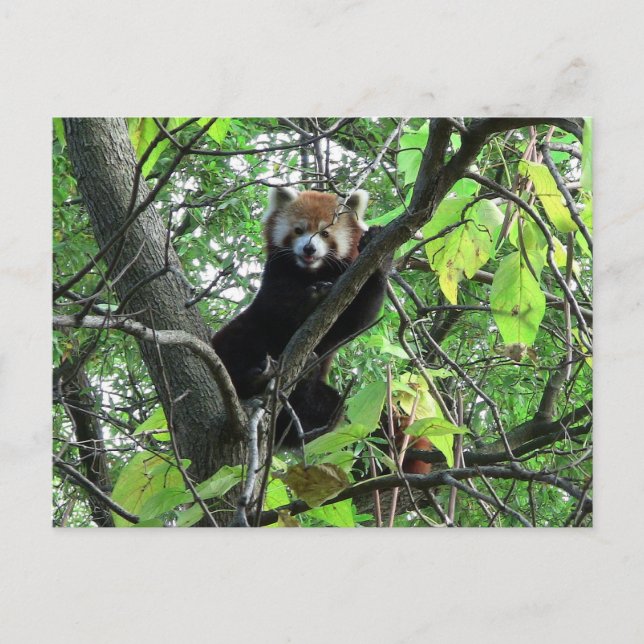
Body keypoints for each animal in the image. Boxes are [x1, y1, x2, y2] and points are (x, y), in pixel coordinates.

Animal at [212, 187, 392, 445]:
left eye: (325, 233)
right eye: (299, 230)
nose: (309, 249)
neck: (311, 272)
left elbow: (358, 318)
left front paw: (377, 253)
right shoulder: (275, 275)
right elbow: (279, 307)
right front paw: (310, 300)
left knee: (329, 406)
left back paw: (305, 380)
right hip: (244, 333)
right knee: (236, 345)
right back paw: (255, 378)